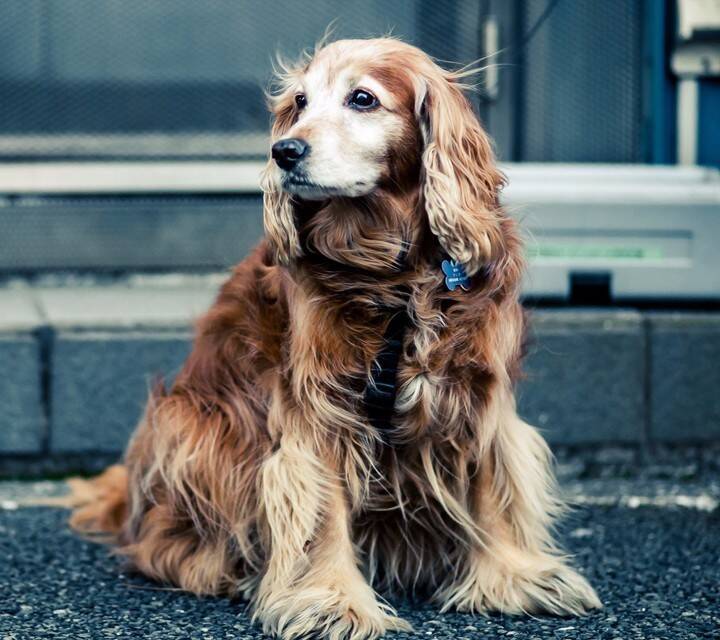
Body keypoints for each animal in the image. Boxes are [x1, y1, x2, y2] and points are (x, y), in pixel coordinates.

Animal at [71, 37, 600, 636]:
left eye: (362, 98)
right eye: (299, 102)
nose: (284, 151)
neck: (394, 275)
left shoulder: (478, 388)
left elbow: (493, 484)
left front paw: (515, 576)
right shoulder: (319, 405)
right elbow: (320, 509)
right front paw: (333, 601)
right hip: (191, 423)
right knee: (167, 544)